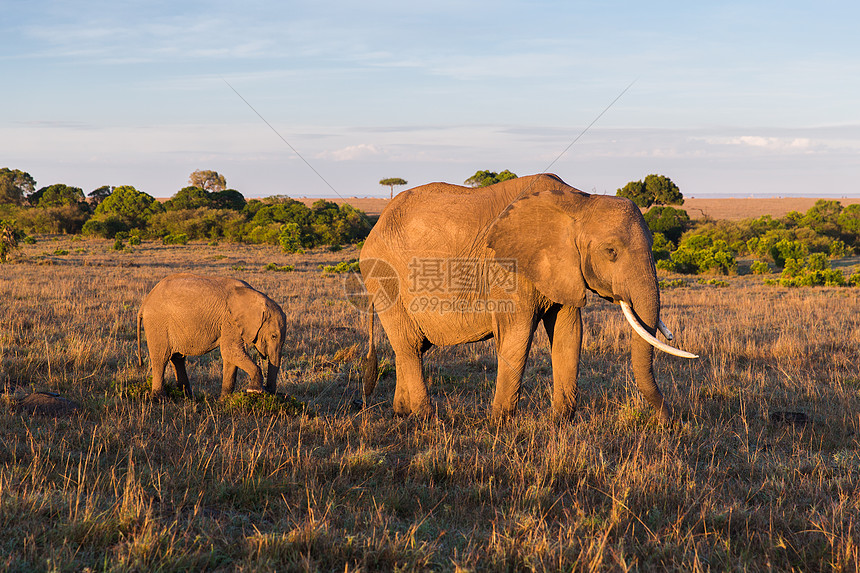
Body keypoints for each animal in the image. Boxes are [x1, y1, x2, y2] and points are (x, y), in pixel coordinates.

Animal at [136, 272, 288, 398]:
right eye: (273, 336)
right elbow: (230, 351)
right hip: (157, 324)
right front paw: (255, 391)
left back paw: (187, 397)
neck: (255, 296)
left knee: (177, 358)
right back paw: (160, 399)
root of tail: (145, 303)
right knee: (161, 359)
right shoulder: (230, 320)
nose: (269, 391)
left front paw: (224, 401)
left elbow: (230, 357)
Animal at [360, 173, 696, 420]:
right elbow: (517, 335)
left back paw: (402, 413)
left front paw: (562, 421)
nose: (670, 420)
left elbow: (569, 334)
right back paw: (426, 418)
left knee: (412, 347)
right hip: (384, 277)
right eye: (610, 252)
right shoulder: (508, 267)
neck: (578, 202)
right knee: (409, 345)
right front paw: (500, 423)